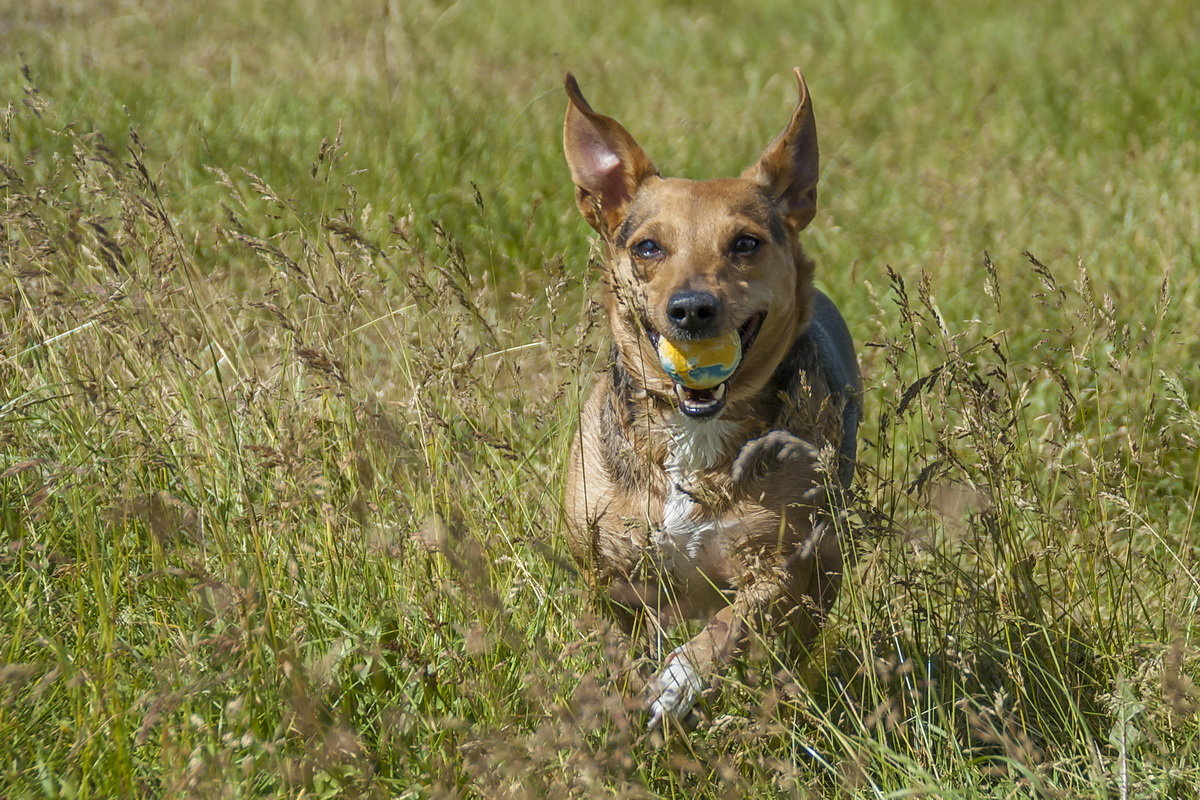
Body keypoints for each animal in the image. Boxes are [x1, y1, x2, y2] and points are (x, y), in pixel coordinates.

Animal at [556, 68, 859, 729]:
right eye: (647, 247)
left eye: (744, 243)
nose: (692, 309)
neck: (693, 432)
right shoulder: (607, 571)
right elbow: (611, 640)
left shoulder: (784, 567)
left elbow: (733, 622)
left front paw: (680, 679)